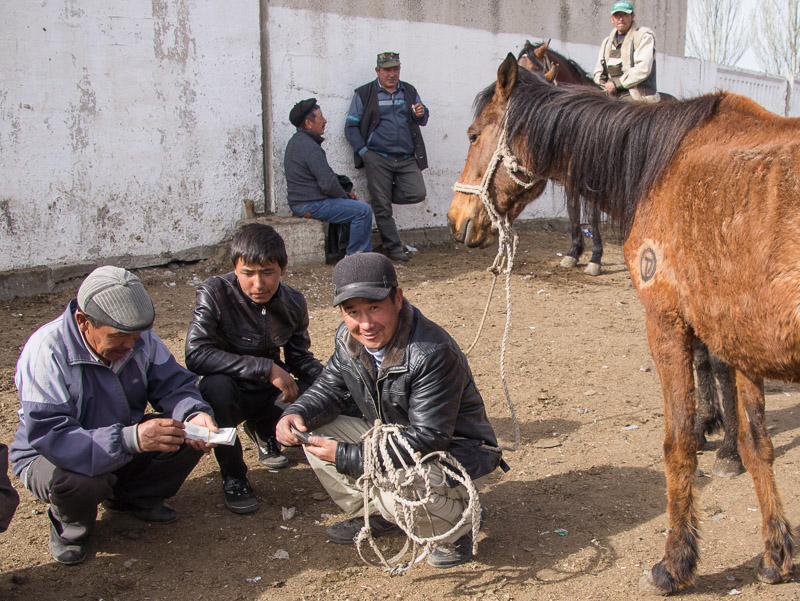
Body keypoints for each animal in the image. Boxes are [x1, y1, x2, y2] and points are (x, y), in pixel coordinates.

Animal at [450, 54, 800, 592]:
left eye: (472, 134)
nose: (457, 218)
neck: (663, 165)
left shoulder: (667, 322)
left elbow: (679, 444)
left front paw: (676, 563)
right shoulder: (740, 339)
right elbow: (756, 443)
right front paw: (776, 555)